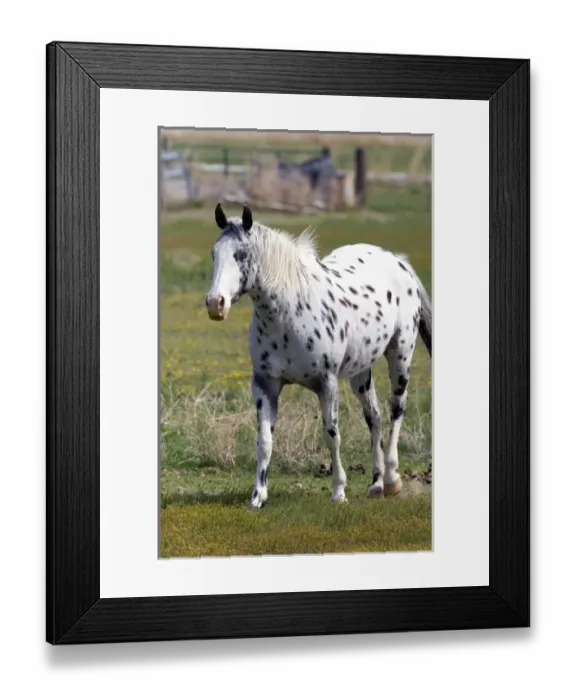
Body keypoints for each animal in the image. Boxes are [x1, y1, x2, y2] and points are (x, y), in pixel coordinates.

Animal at [205, 203, 432, 510]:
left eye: (241, 255)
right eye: (214, 253)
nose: (215, 304)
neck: (289, 314)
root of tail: (398, 261)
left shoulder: (327, 383)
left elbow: (331, 435)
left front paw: (338, 492)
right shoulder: (265, 384)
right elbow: (264, 440)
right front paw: (257, 496)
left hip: (400, 355)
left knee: (396, 410)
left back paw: (392, 480)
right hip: (361, 372)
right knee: (374, 417)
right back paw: (375, 484)